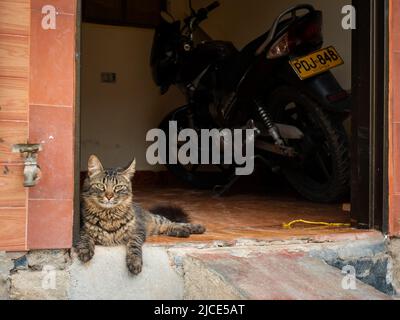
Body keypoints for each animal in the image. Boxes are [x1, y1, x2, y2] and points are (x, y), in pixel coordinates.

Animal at [75, 156, 206, 276]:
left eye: (118, 187)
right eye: (101, 186)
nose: (109, 196)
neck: (109, 216)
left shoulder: (138, 231)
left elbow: (134, 245)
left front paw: (135, 262)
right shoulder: (81, 229)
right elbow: (85, 237)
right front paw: (85, 251)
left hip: (156, 221)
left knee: (170, 223)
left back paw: (196, 228)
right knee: (164, 229)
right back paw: (183, 232)